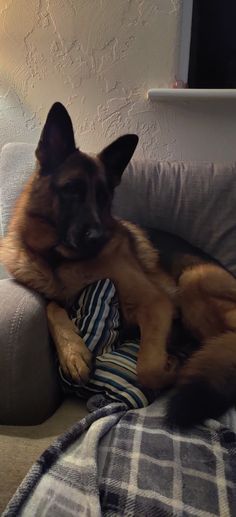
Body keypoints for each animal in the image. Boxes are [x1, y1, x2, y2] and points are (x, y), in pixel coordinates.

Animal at [1, 102, 236, 428]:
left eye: (104, 197)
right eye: (71, 189)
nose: (98, 236)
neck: (60, 261)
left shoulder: (156, 303)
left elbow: (148, 368)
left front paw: (171, 367)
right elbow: (51, 308)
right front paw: (73, 353)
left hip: (193, 281)